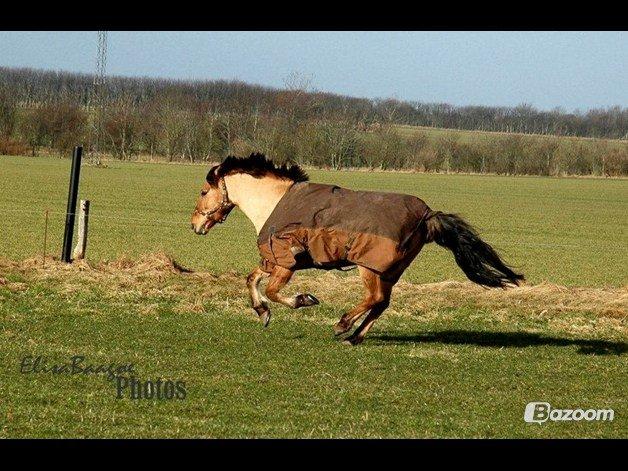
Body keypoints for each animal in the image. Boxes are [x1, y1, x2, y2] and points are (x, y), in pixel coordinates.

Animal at [189, 153, 524, 344]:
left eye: (204, 191)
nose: (194, 224)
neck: (276, 201)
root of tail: (428, 215)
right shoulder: (273, 259)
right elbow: (251, 280)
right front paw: (262, 313)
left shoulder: (286, 262)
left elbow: (272, 290)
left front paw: (304, 300)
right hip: (390, 271)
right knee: (382, 303)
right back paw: (353, 337)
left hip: (370, 267)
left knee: (374, 298)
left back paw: (342, 325)